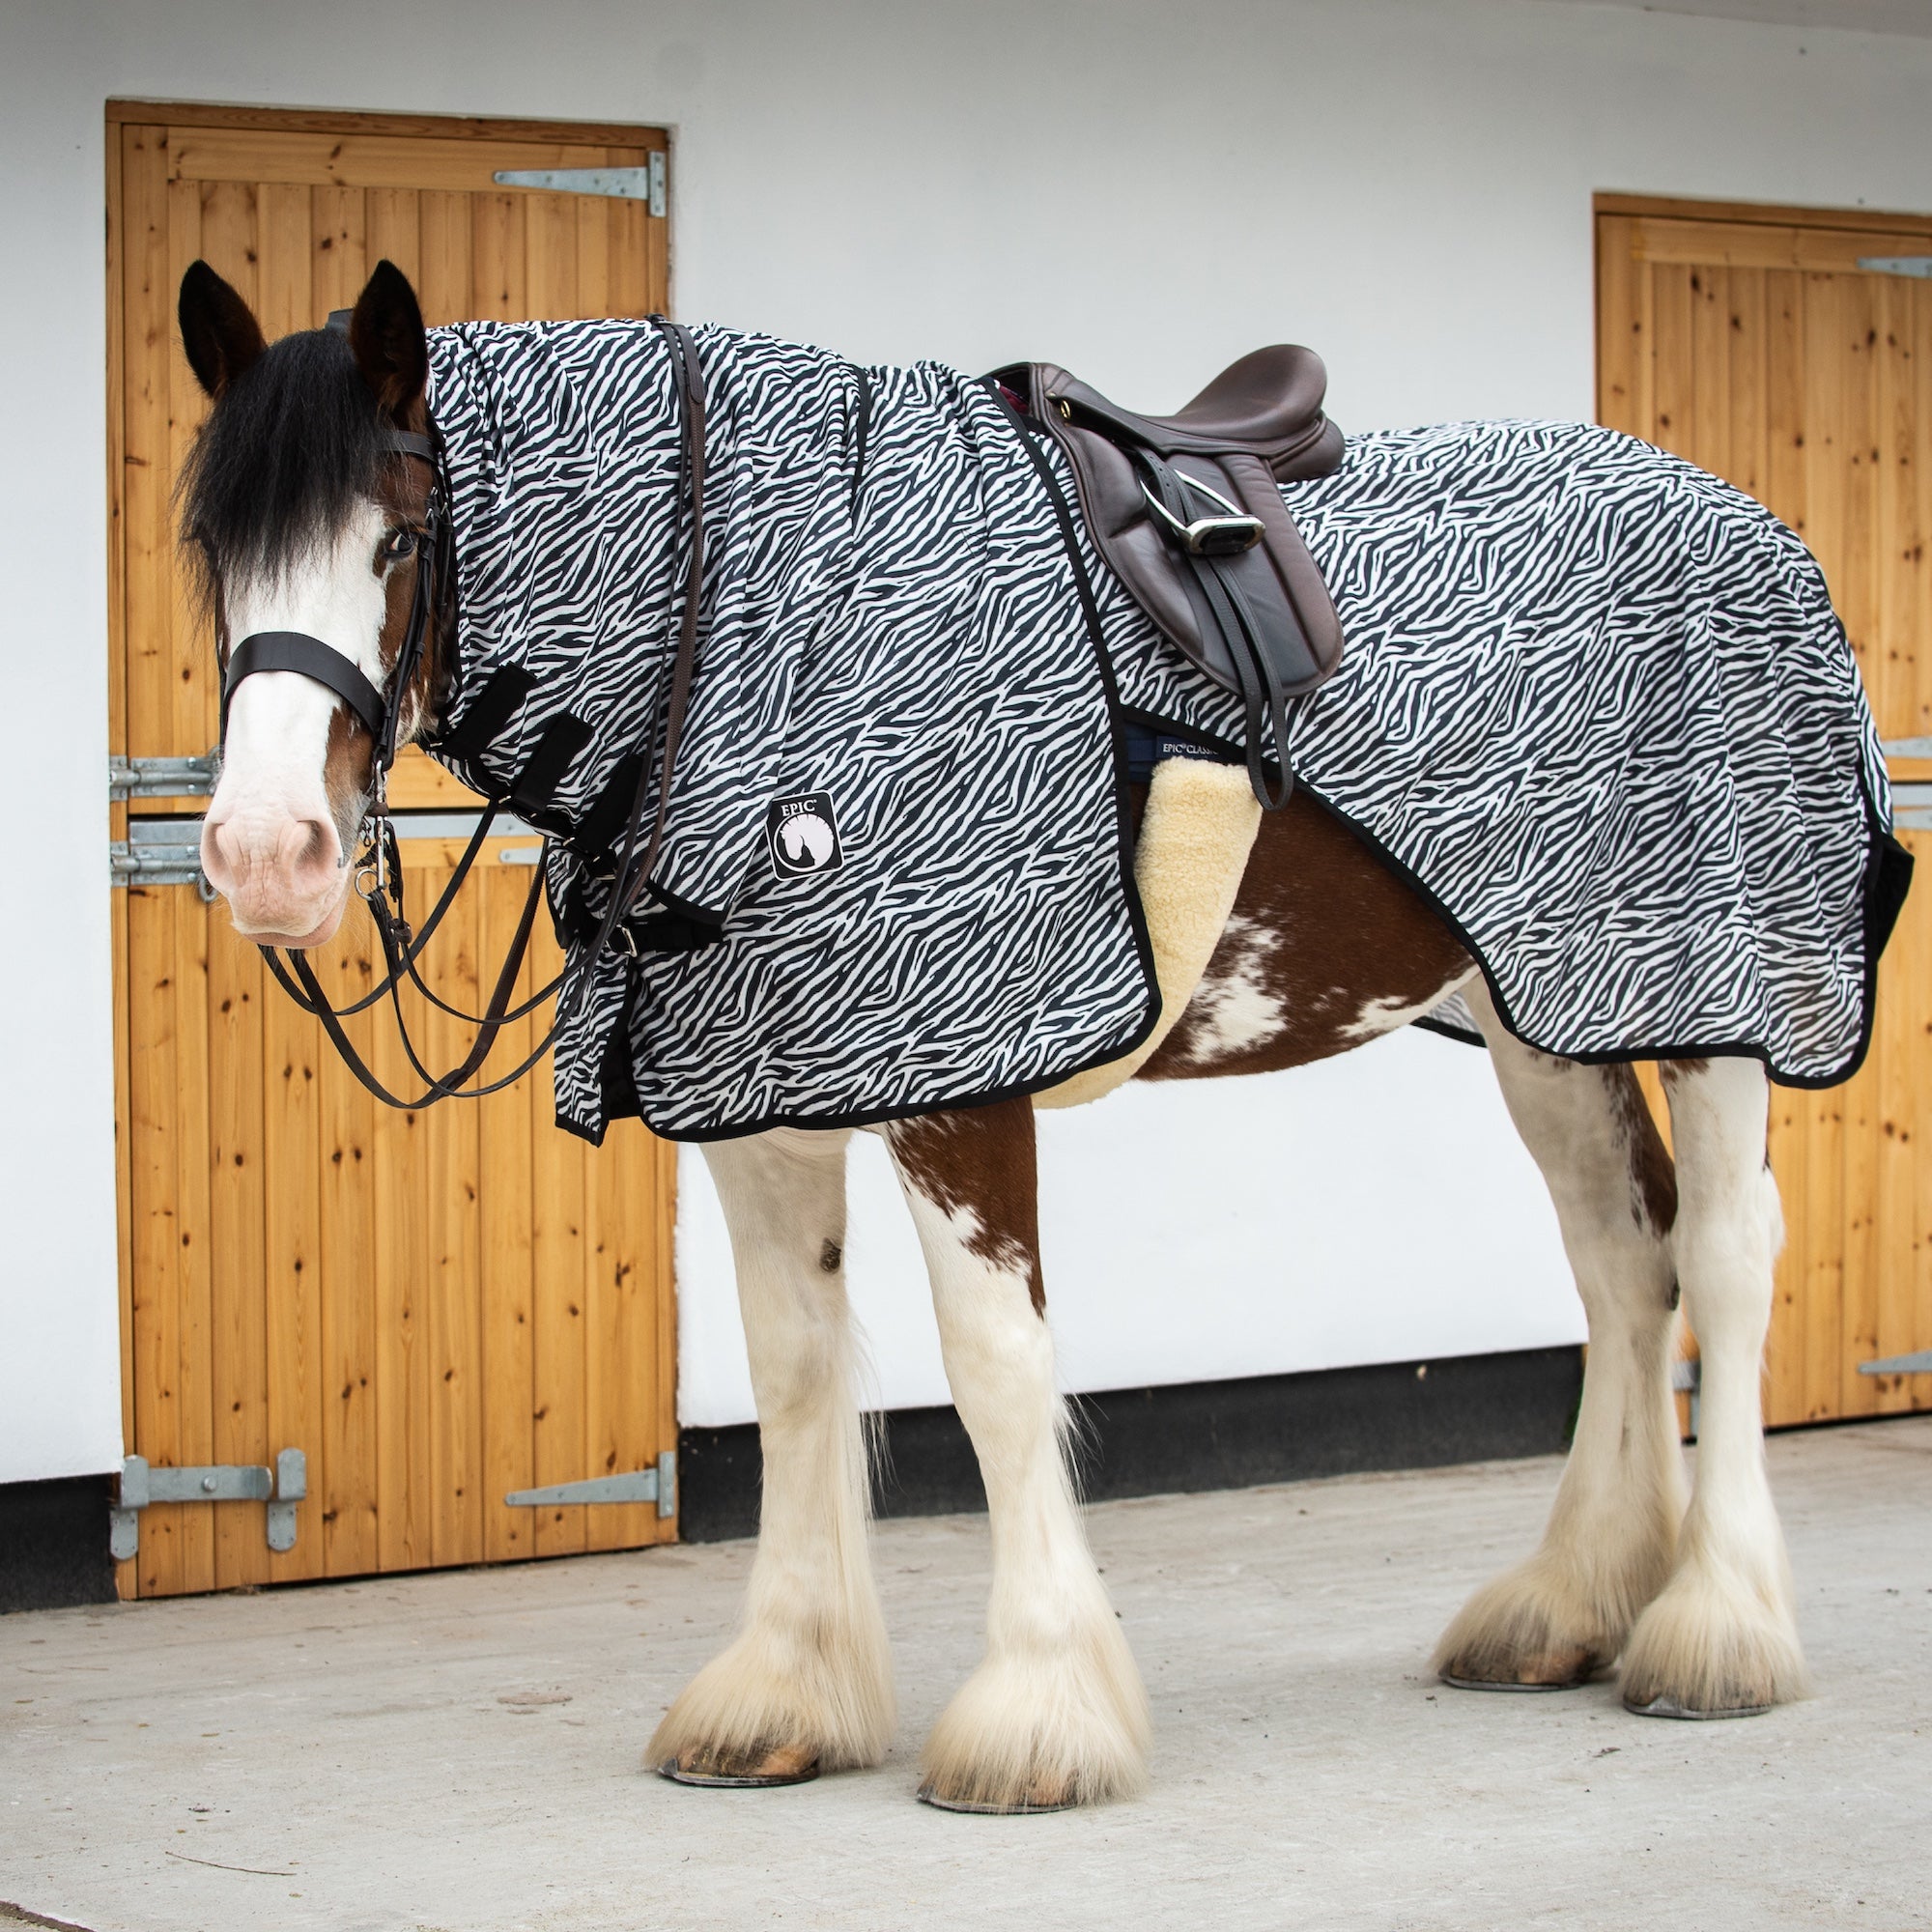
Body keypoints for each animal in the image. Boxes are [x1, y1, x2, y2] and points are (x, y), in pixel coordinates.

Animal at [178, 256, 1821, 1814]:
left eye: (399, 541)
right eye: (212, 551)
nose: (266, 856)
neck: (779, 623)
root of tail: (1753, 523)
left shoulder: (958, 1082)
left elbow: (995, 1367)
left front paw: (1039, 1713)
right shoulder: (753, 1085)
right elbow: (794, 1369)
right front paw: (781, 1692)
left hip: (1722, 1006)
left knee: (1728, 1260)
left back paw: (1719, 1632)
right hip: (1555, 1013)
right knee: (1623, 1257)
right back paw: (1573, 1606)